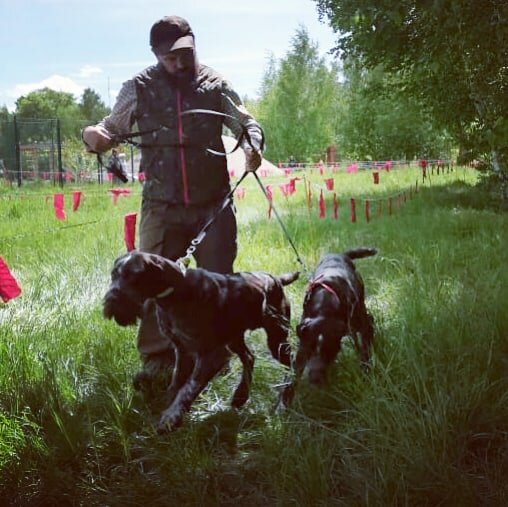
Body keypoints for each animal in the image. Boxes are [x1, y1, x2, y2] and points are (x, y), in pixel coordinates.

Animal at [103, 250, 300, 432]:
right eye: (114, 275)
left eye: (133, 277)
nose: (110, 304)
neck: (176, 292)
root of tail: (276, 279)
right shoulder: (182, 349)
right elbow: (176, 382)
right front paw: (166, 405)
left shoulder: (211, 355)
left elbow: (187, 388)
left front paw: (171, 417)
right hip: (234, 339)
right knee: (249, 357)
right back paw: (240, 395)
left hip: (276, 338)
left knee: (291, 365)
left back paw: (284, 399)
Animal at [280, 248, 376, 406]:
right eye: (310, 350)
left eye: (330, 351)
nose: (315, 379)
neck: (325, 306)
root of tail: (340, 254)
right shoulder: (302, 346)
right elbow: (293, 375)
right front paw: (283, 403)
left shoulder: (363, 325)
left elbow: (365, 352)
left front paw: (366, 375)